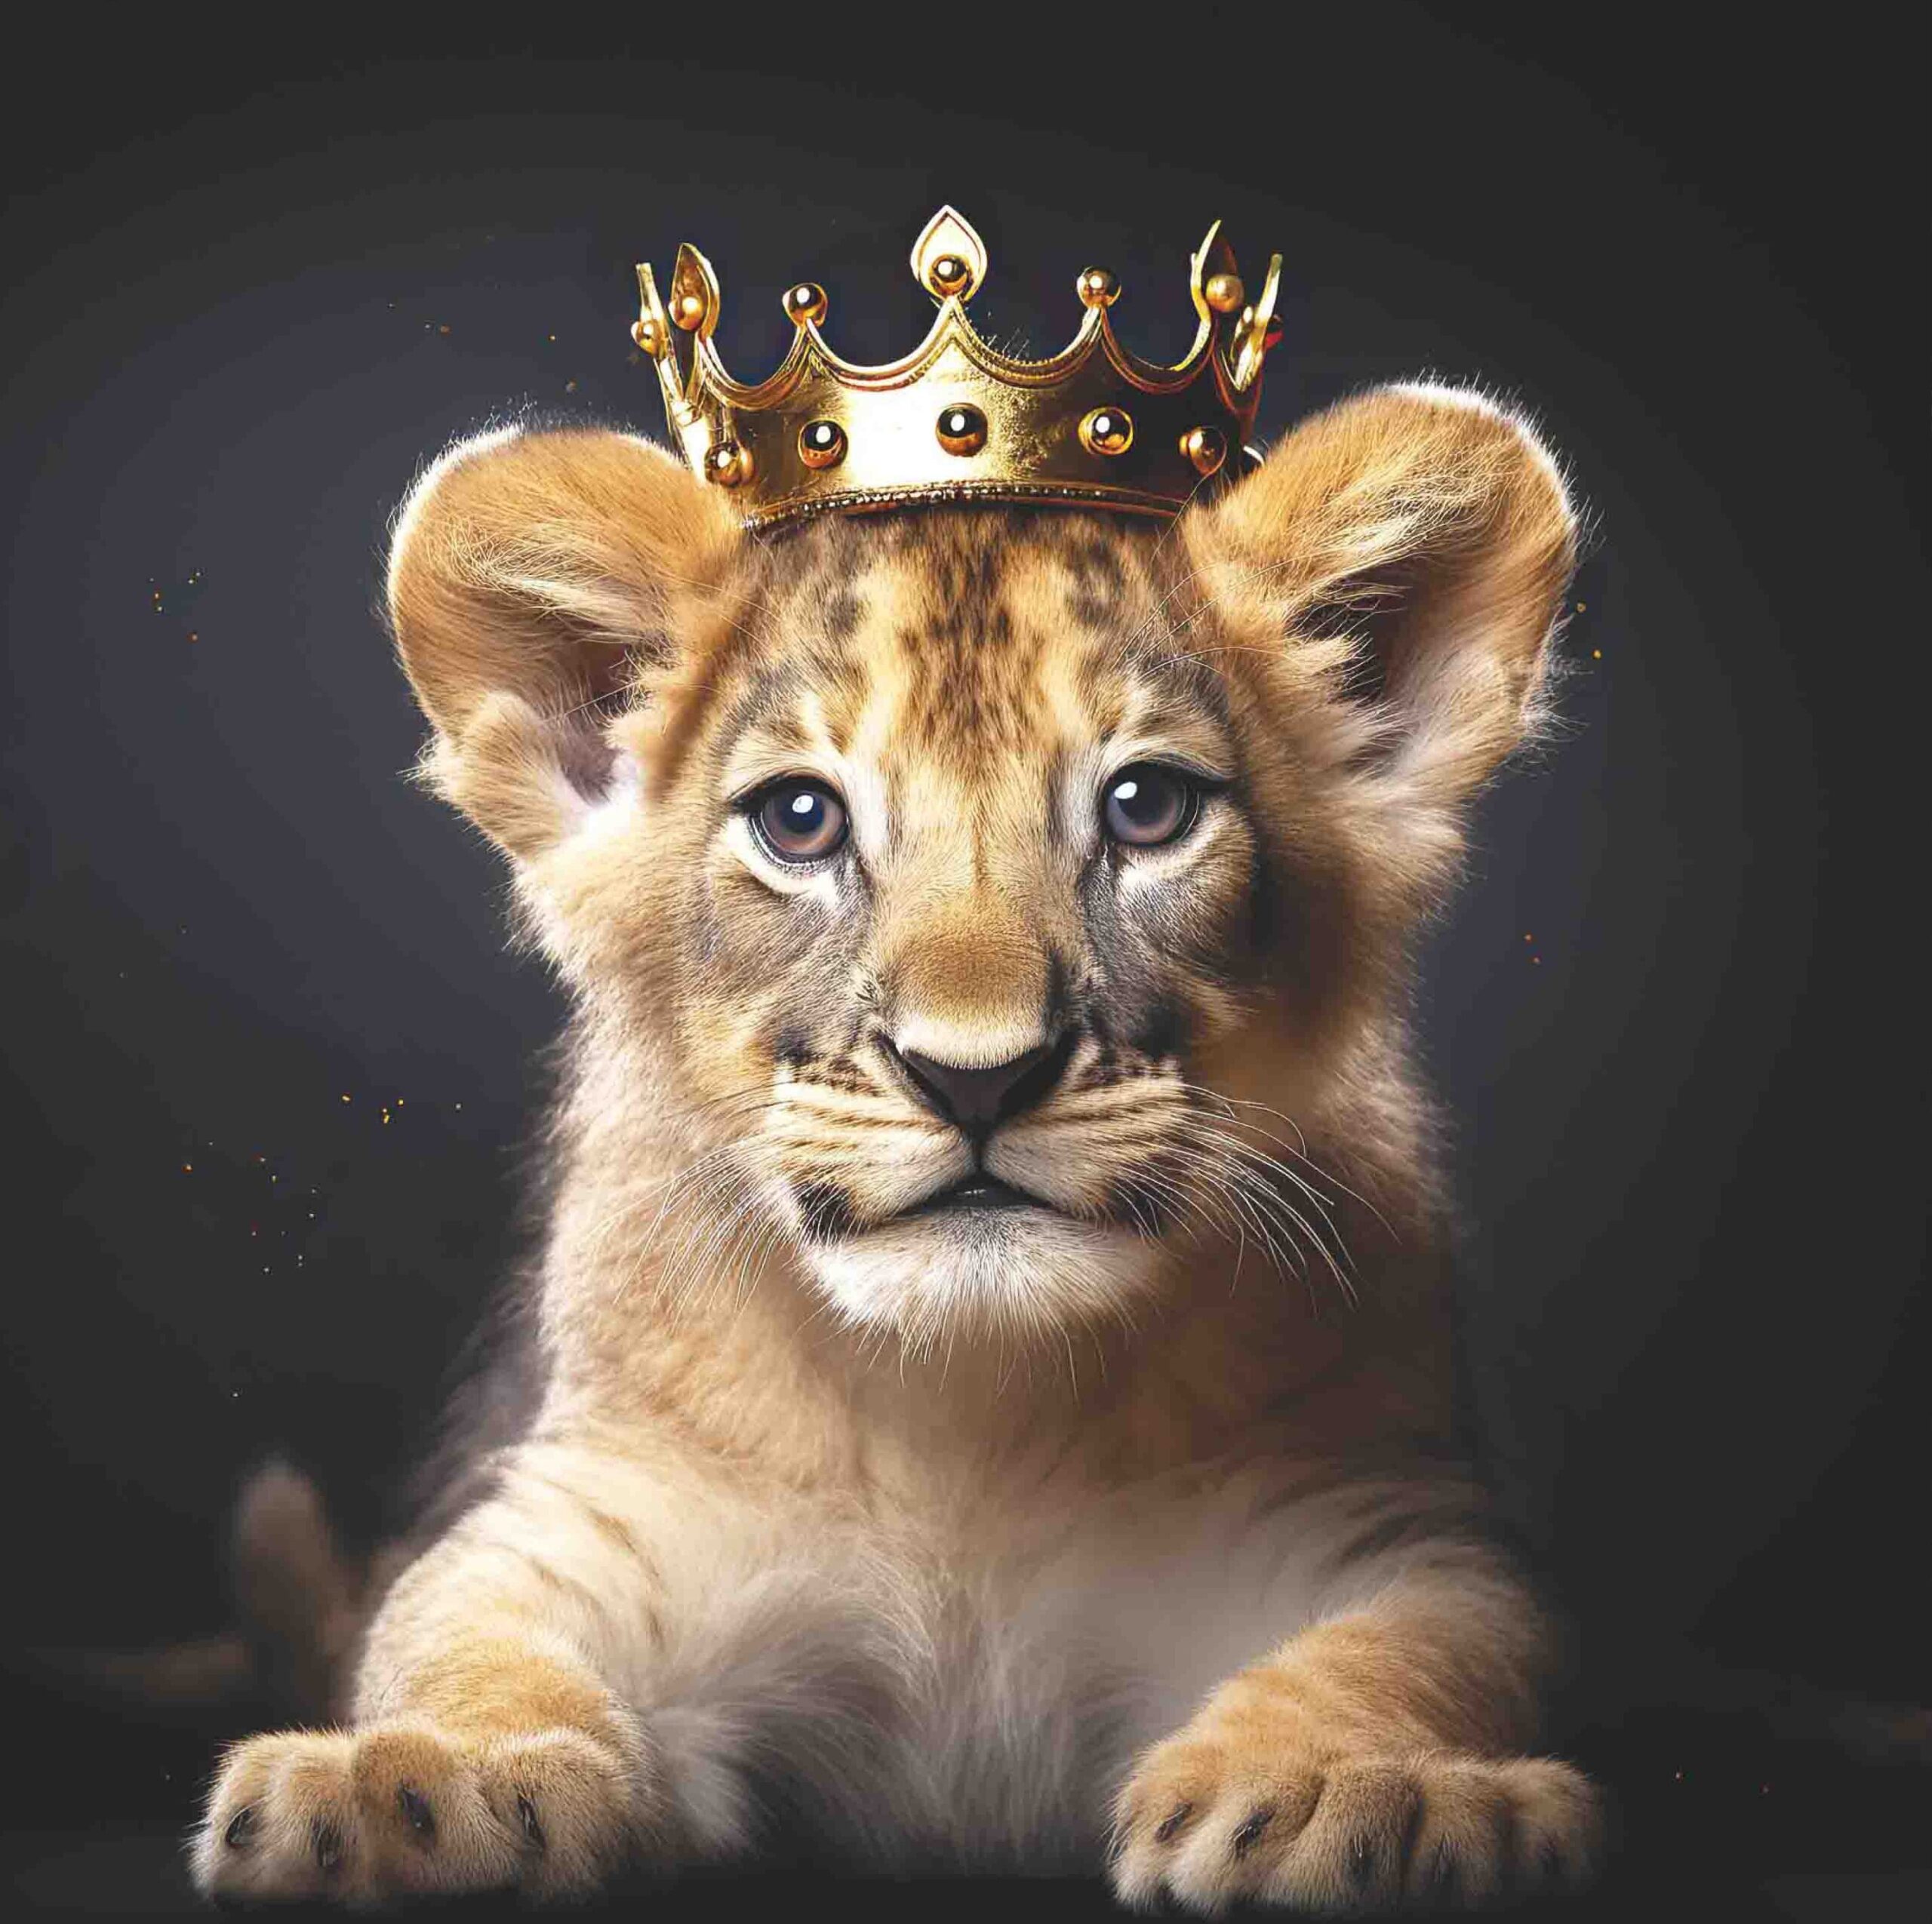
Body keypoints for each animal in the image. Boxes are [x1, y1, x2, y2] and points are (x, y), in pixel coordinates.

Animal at [191, 379, 1603, 1910]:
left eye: (1147, 808)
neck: (970, 1428)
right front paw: (408, 1785)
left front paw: (1362, 1790)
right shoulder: (589, 1521)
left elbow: (1408, 1648)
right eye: (800, 820)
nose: (975, 1077)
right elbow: (458, 1637)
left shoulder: (1367, 1518)